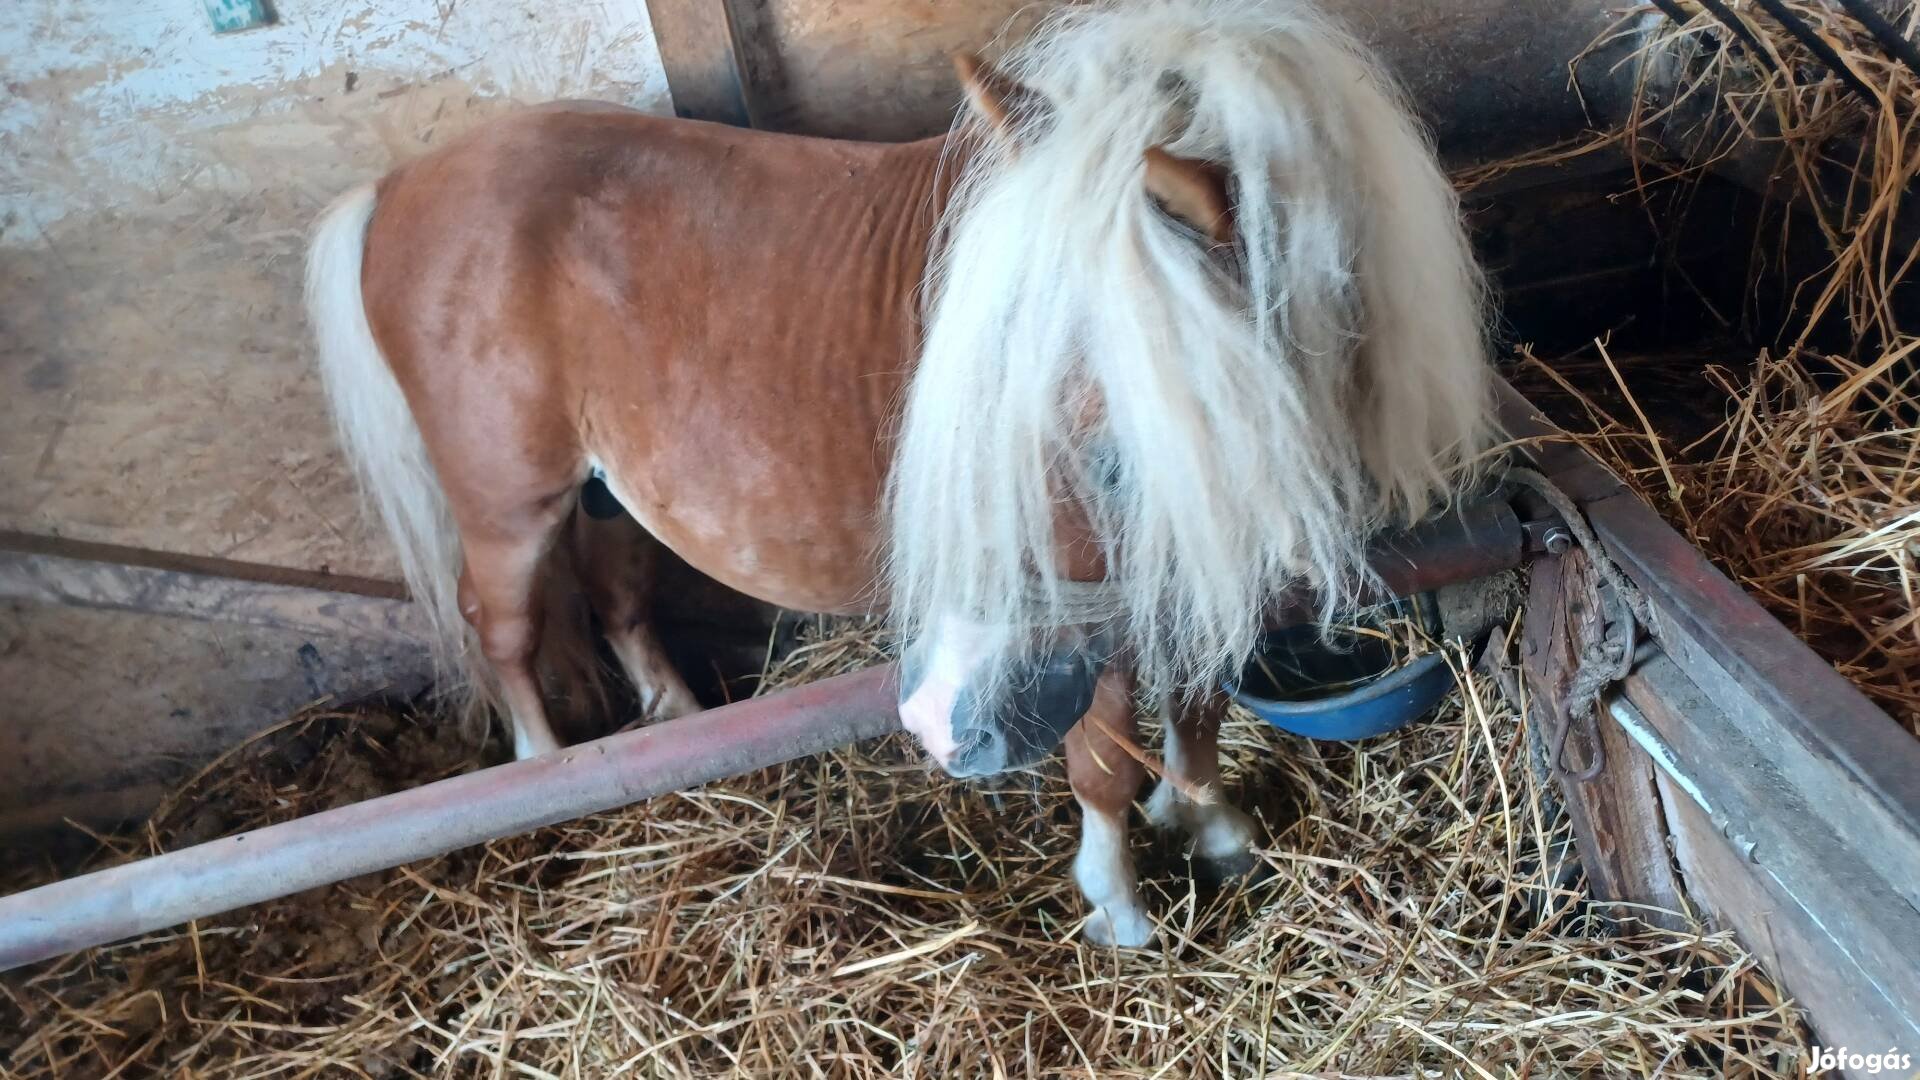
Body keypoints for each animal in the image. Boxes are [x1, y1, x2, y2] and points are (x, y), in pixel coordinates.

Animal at [307, 0, 1489, 941]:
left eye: (1118, 455)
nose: (937, 720)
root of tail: (396, 183)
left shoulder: (1198, 531)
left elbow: (1198, 702)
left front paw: (1210, 825)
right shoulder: (1098, 623)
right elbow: (1104, 759)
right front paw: (1119, 900)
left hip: (608, 499)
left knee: (618, 597)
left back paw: (674, 728)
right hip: (512, 507)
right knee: (502, 630)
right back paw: (546, 780)